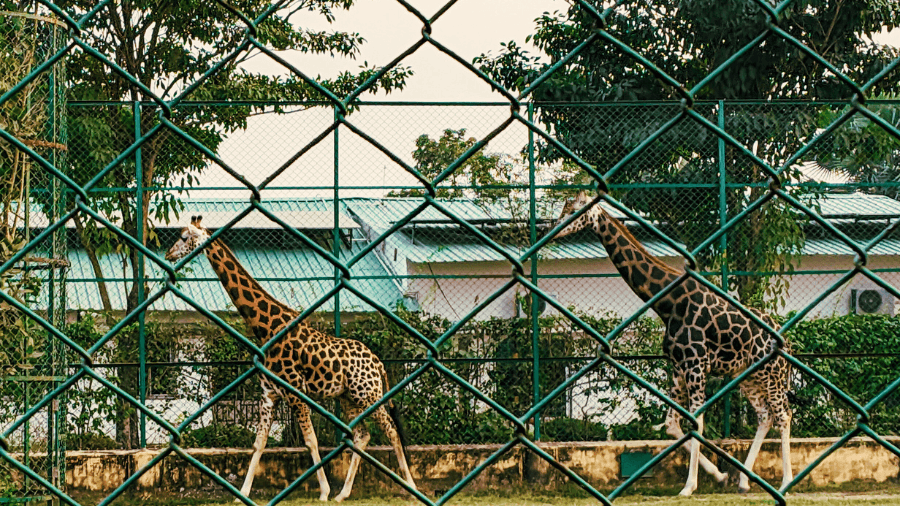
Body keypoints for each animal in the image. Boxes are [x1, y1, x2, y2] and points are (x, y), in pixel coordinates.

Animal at [165, 216, 417, 502]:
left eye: (184, 237)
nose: (168, 254)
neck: (266, 329)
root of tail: (379, 363)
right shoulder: (269, 395)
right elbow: (259, 443)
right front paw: (242, 493)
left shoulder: (296, 391)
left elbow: (311, 441)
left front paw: (323, 491)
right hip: (350, 397)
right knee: (362, 435)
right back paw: (344, 494)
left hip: (369, 394)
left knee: (391, 430)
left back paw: (410, 486)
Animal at [551, 191, 792, 496]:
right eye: (563, 207)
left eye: (574, 210)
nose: (553, 230)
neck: (669, 303)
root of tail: (788, 344)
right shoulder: (679, 366)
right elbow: (670, 425)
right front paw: (720, 475)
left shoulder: (696, 364)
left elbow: (697, 424)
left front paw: (689, 486)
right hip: (749, 377)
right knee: (765, 416)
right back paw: (743, 480)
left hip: (772, 375)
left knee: (784, 414)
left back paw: (786, 481)